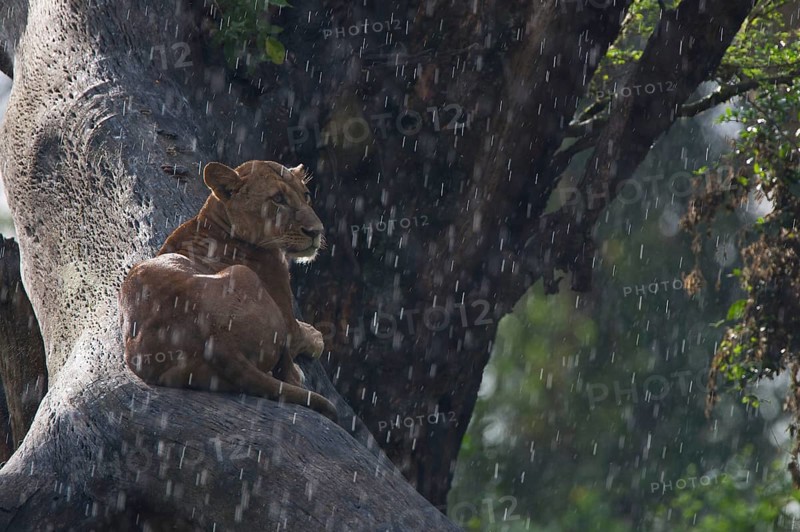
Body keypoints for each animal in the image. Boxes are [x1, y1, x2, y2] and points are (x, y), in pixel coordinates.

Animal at [118, 160, 338, 421]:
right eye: (278, 199)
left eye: (305, 195)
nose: (316, 231)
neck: (212, 220)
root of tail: (216, 339)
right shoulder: (286, 312)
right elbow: (300, 334)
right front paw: (316, 336)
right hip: (242, 273)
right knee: (289, 374)